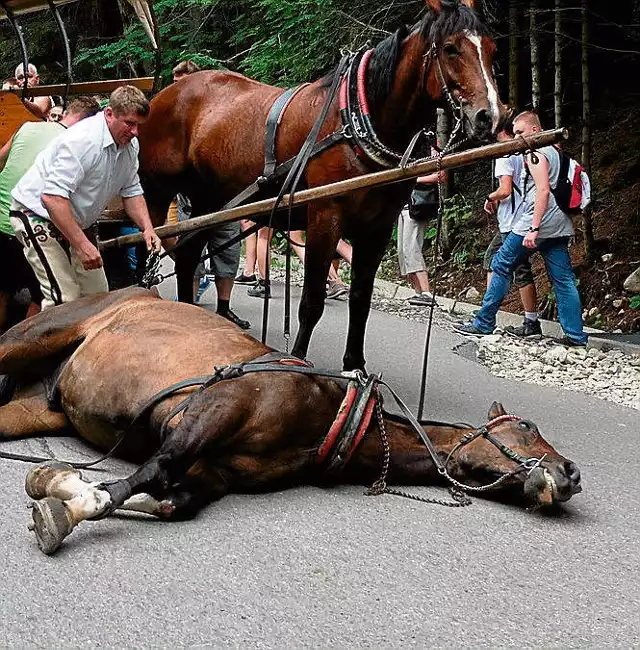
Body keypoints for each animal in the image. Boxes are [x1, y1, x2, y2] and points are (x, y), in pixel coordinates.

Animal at [0, 288, 584, 552]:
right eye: (528, 427)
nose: (572, 472)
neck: (327, 413)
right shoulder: (209, 413)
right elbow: (150, 473)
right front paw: (72, 502)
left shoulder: (215, 472)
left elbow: (170, 501)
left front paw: (54, 480)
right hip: (28, 339)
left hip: (33, 410)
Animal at [139, 0, 504, 368]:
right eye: (451, 48)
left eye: (491, 48)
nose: (489, 116)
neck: (358, 119)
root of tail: (164, 95)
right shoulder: (325, 216)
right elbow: (312, 301)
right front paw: (299, 360)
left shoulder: (378, 227)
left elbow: (360, 298)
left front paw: (354, 365)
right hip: (155, 192)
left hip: (208, 201)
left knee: (186, 257)